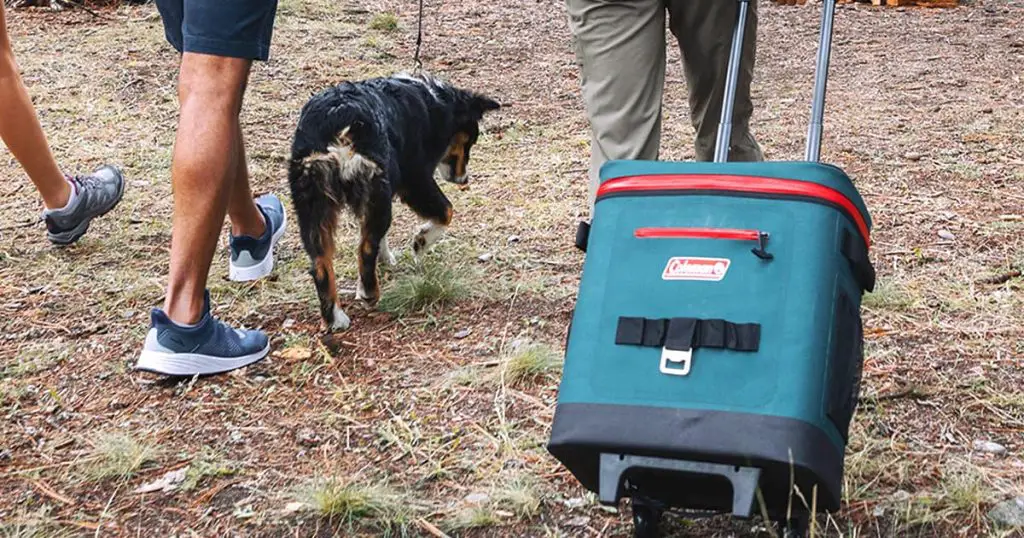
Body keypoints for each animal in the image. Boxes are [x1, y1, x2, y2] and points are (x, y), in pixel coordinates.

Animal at [288, 71, 499, 332]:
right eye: (471, 140)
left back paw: (334, 318)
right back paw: (368, 293)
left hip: (314, 204)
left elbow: (380, 235)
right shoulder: (415, 178)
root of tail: (340, 117)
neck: (434, 101)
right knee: (365, 248)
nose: (464, 180)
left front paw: (387, 256)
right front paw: (421, 241)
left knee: (320, 262)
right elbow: (446, 211)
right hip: (373, 187)